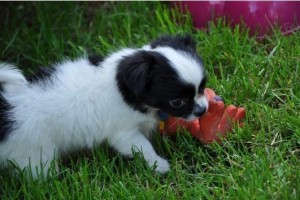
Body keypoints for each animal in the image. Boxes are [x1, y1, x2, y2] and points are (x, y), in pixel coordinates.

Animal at [0, 35, 206, 177]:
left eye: (203, 87)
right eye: (177, 102)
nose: (203, 110)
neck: (125, 88)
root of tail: (8, 109)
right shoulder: (124, 133)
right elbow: (143, 146)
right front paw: (159, 164)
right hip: (36, 152)